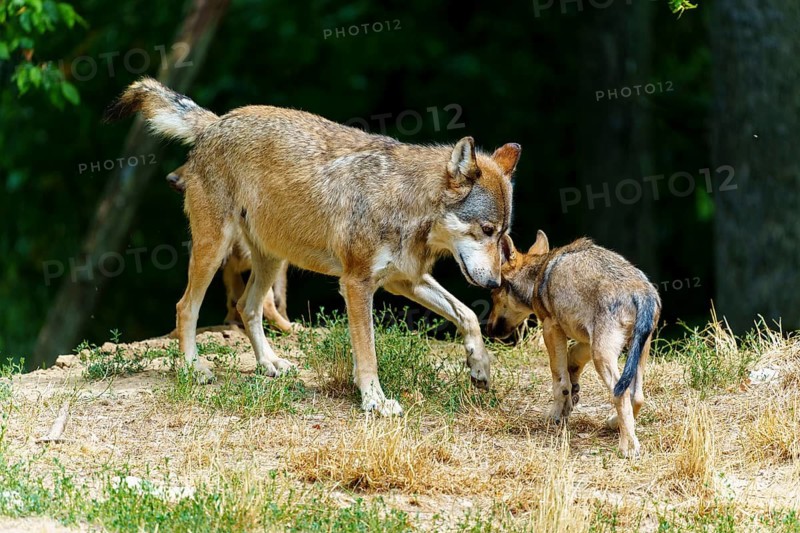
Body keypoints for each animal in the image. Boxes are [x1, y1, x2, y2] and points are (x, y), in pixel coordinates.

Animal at [487, 231, 660, 457]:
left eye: (493, 295)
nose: (488, 330)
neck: (537, 277)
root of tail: (640, 292)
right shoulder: (587, 339)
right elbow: (572, 359)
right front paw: (573, 391)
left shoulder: (551, 328)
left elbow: (560, 382)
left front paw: (555, 415)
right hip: (634, 351)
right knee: (637, 396)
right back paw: (614, 424)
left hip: (602, 357)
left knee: (620, 393)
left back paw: (627, 447)